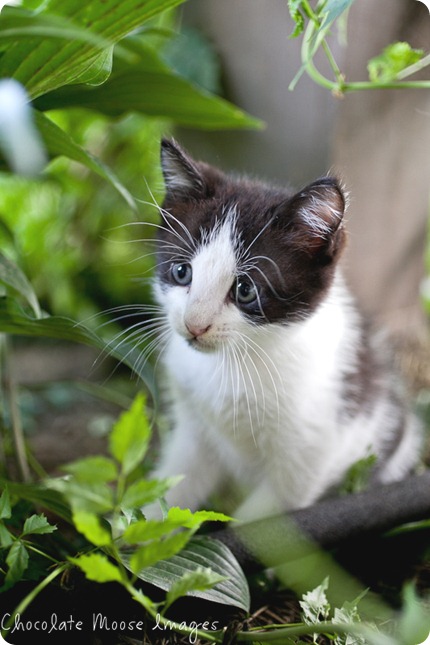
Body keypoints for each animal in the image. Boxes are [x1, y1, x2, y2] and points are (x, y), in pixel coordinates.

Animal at [147, 138, 420, 520]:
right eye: (181, 272)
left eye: (245, 290)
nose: (194, 325)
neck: (232, 364)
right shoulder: (193, 430)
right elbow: (174, 486)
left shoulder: (308, 454)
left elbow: (262, 521)